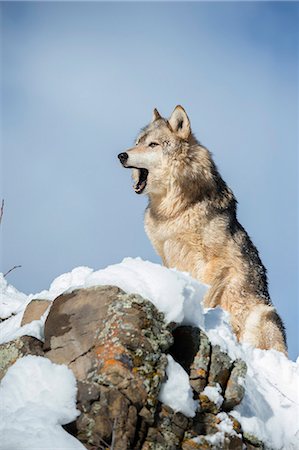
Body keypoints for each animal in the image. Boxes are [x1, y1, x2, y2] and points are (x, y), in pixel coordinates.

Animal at [118, 106, 288, 356]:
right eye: (138, 142)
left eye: (153, 144)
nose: (121, 155)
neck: (174, 211)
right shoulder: (168, 257)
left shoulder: (217, 262)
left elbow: (205, 294)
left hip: (263, 315)